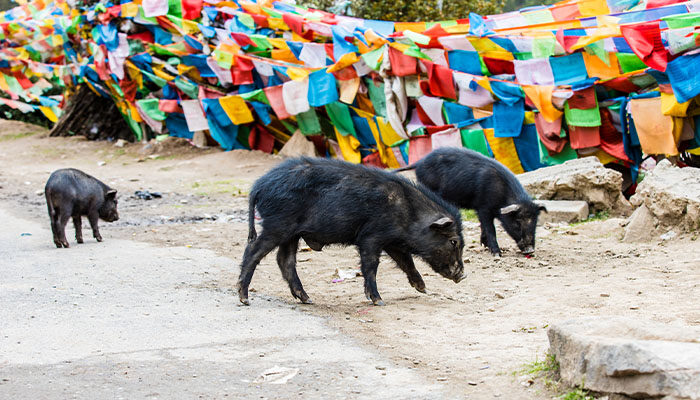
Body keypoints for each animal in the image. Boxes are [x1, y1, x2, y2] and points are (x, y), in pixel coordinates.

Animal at [238, 156, 468, 306]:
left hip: (291, 234)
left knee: (285, 260)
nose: (463, 275)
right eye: (454, 241)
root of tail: (258, 186)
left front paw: (422, 288)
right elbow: (371, 265)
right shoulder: (371, 237)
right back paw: (244, 298)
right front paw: (378, 301)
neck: (409, 213)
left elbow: (406, 262)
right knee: (253, 251)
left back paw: (308, 299)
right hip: (277, 225)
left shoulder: (392, 241)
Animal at [396, 148, 544, 256]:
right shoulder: (484, 207)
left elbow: (484, 226)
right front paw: (497, 254)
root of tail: (420, 162)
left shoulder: (480, 209)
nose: (530, 250)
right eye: (517, 222)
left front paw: (484, 244)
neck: (502, 194)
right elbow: (491, 229)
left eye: (535, 222)